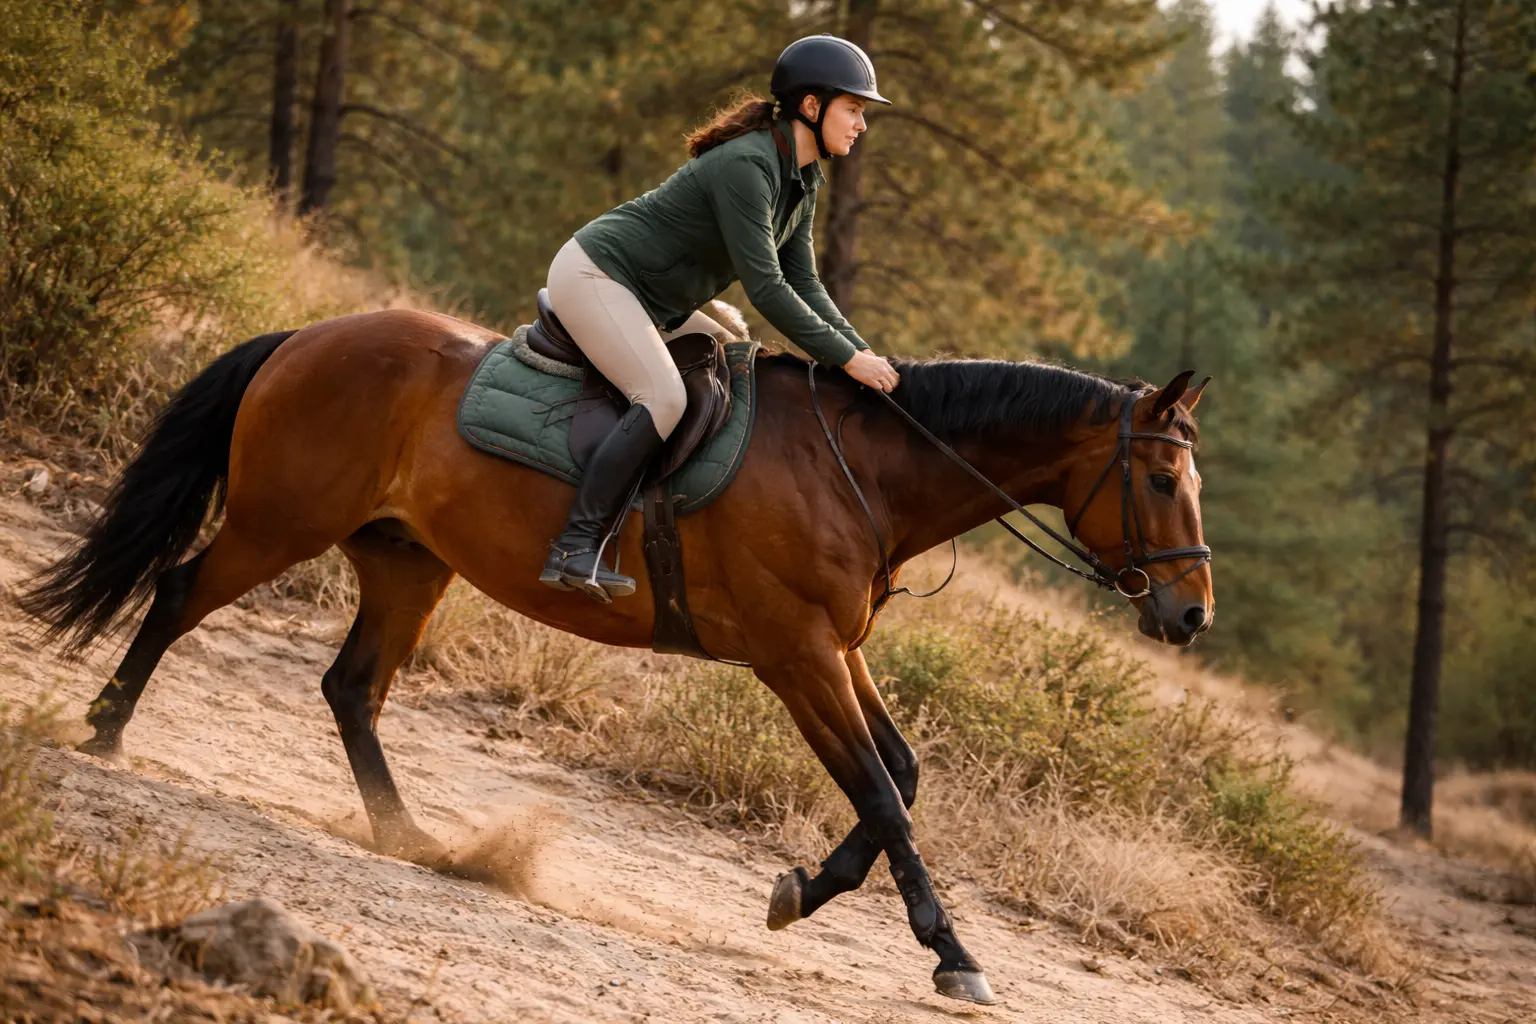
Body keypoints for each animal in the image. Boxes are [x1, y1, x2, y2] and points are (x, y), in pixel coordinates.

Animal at [22, 308, 1212, 1005]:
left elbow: (900, 778)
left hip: (408, 561)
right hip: (283, 522)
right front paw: (951, 952)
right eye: (1161, 481)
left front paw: (802, 892)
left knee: (351, 687)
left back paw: (414, 837)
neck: (858, 469)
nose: (1193, 616)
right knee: (181, 595)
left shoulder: (835, 650)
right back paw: (108, 726)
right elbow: (881, 790)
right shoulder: (797, 654)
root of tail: (310, 335)